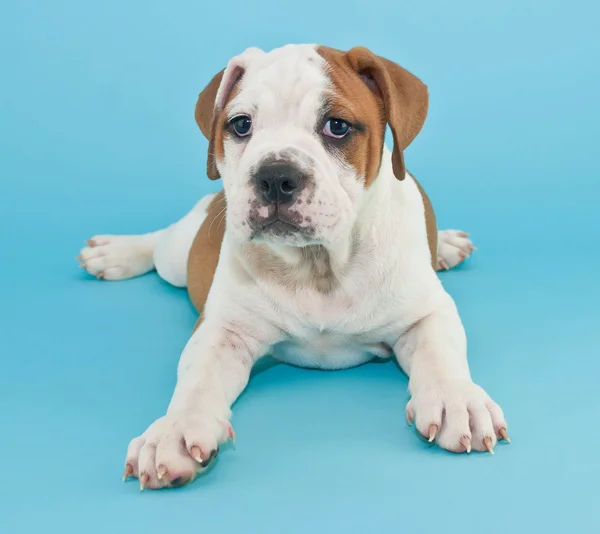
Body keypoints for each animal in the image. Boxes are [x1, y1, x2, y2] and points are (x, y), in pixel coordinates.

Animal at [75, 44, 506, 492]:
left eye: (337, 126)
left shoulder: (426, 313)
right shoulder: (223, 331)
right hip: (179, 256)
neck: (319, 267)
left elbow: (441, 354)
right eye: (241, 125)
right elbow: (195, 380)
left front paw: (458, 400)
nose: (275, 176)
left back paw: (447, 245)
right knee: (161, 241)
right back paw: (115, 252)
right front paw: (173, 431)